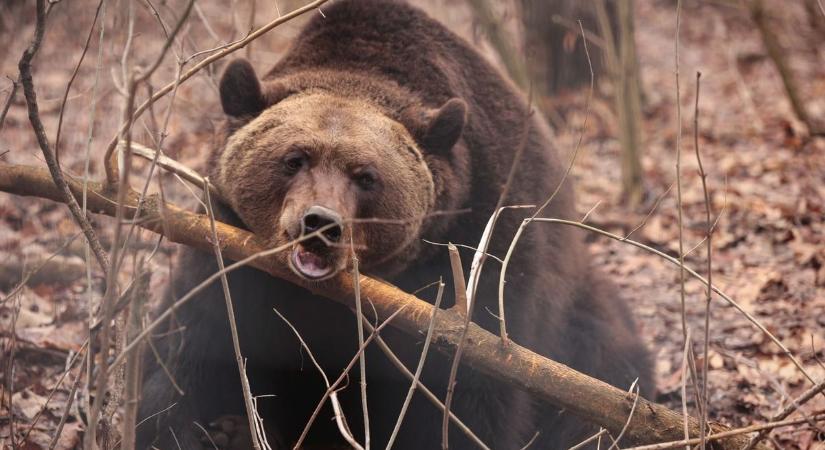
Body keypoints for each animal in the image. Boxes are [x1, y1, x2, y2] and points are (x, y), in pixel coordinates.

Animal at [137, 1, 652, 448]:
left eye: (366, 176)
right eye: (293, 159)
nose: (320, 224)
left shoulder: (483, 250)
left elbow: (472, 391)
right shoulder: (226, 257)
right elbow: (191, 355)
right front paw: (212, 427)